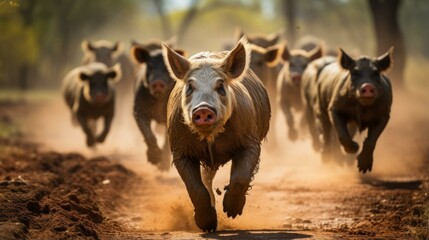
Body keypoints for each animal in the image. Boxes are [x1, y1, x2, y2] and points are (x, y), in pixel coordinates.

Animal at [130, 41, 184, 172]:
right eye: (150, 66)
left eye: (166, 68)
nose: (157, 82)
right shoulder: (138, 111)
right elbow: (148, 133)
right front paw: (154, 160)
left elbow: (167, 140)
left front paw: (163, 167)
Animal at [162, 36, 270, 232]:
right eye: (190, 86)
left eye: (220, 86)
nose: (203, 109)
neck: (210, 138)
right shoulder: (179, 150)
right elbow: (195, 188)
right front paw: (207, 227)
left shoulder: (251, 141)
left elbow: (241, 176)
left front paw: (231, 213)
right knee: (206, 179)